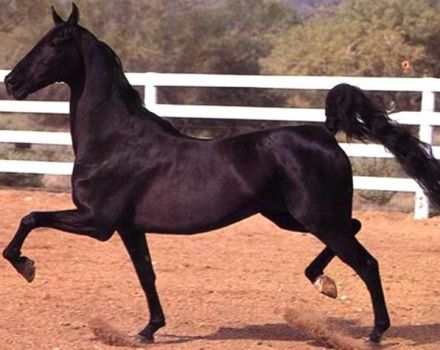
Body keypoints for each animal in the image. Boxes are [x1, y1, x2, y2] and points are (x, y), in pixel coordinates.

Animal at [4, 4, 440, 344]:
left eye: (55, 42)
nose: (11, 81)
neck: (113, 141)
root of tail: (325, 133)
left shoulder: (97, 222)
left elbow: (30, 218)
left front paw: (26, 266)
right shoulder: (128, 228)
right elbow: (146, 275)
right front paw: (149, 329)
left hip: (315, 218)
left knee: (367, 262)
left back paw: (375, 331)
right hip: (295, 217)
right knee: (355, 227)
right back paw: (322, 282)